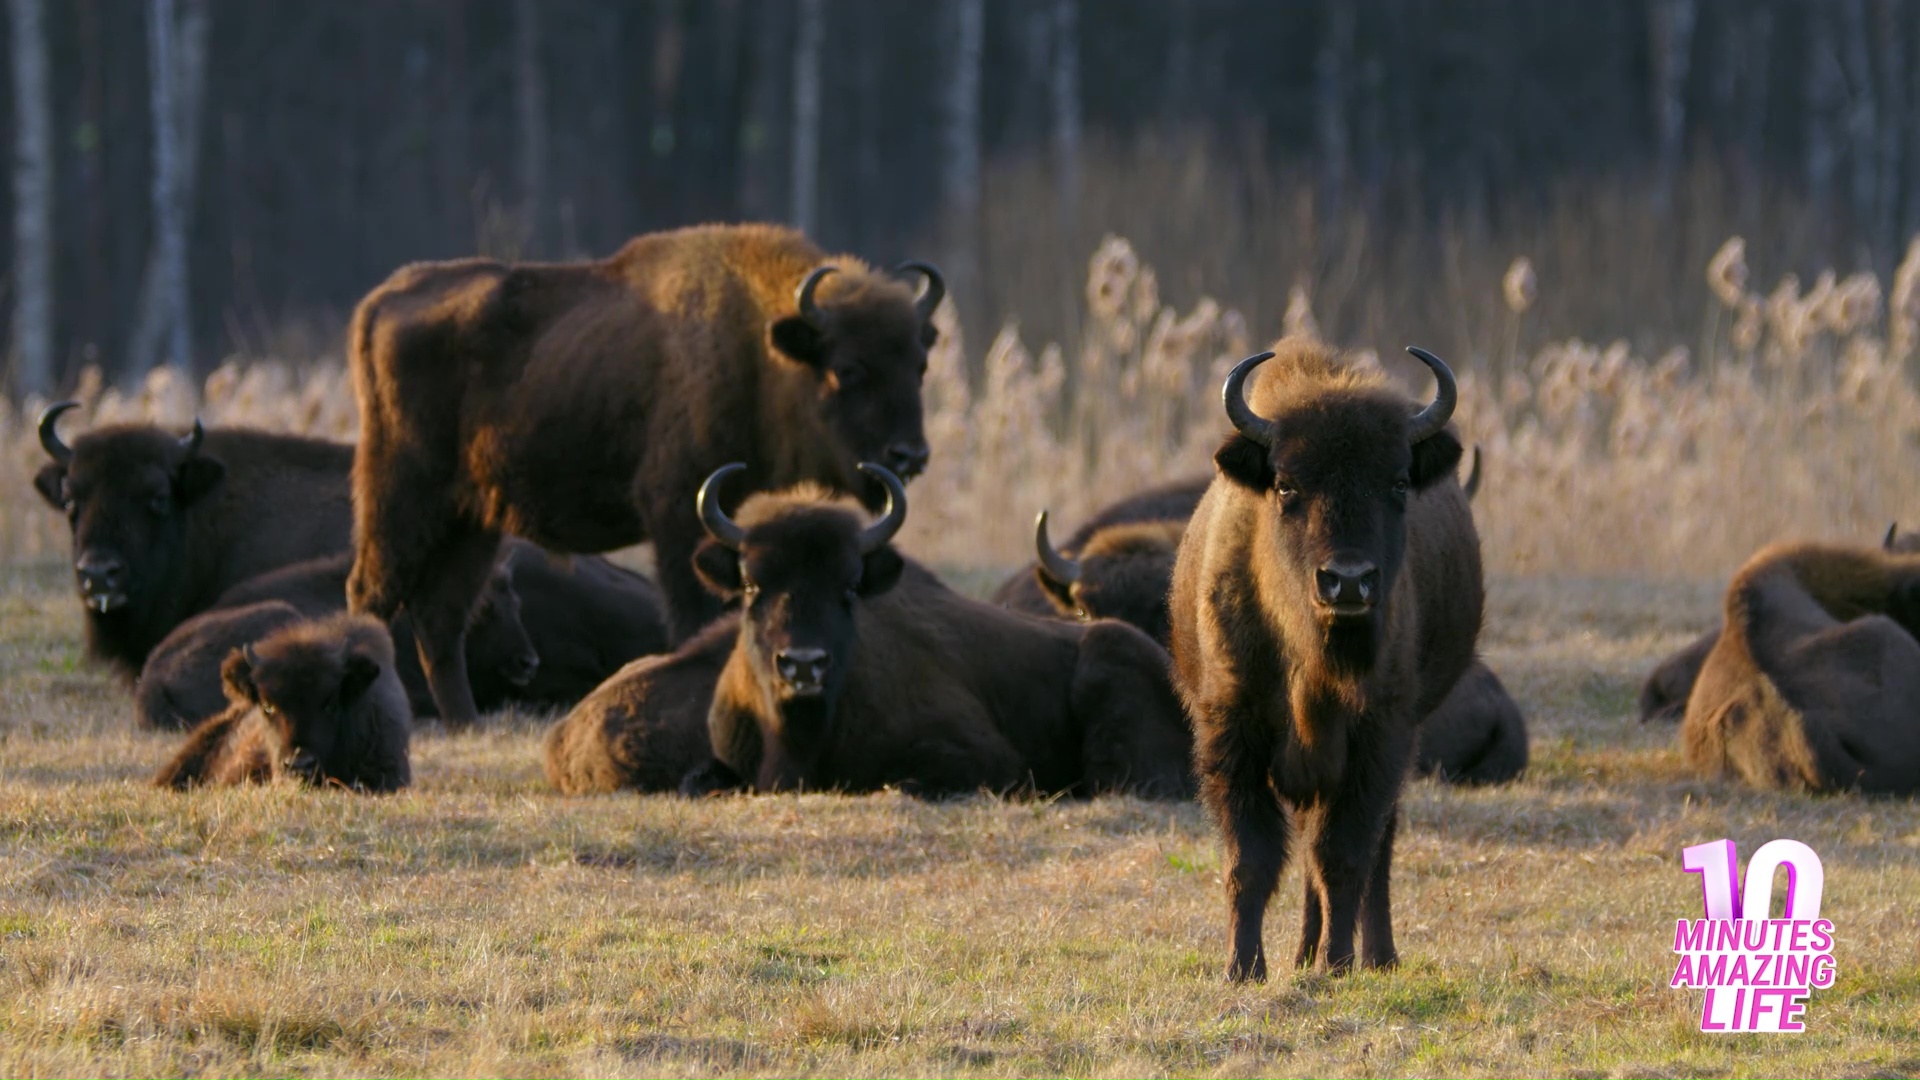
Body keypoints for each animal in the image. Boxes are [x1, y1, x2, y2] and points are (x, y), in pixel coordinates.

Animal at [345, 223, 943, 727]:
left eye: (919, 365)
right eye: (848, 369)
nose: (910, 455)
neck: (759, 351)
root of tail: (380, 301)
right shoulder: (678, 512)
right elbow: (695, 613)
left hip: (472, 522)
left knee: (440, 617)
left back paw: (464, 723)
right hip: (401, 498)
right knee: (372, 593)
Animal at [1169, 338, 1483, 980]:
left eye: (1398, 483)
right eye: (1287, 484)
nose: (1349, 581)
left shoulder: (1381, 734)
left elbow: (1344, 855)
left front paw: (1338, 965)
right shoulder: (1231, 730)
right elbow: (1251, 857)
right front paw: (1244, 968)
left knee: (1372, 851)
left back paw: (1373, 955)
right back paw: (1302, 951)